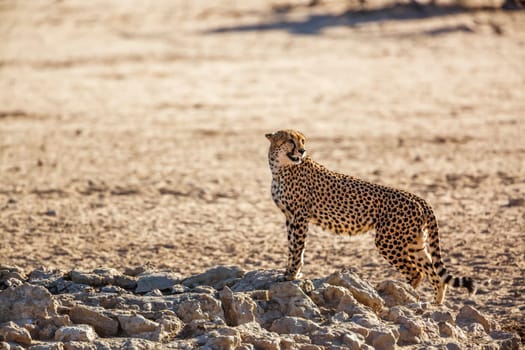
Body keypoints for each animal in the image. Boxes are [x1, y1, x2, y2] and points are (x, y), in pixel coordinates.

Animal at [266, 129, 474, 304]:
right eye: (290, 140)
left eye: (302, 140)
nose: (302, 151)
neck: (280, 168)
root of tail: (418, 198)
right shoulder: (290, 217)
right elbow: (292, 246)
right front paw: (290, 273)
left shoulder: (300, 217)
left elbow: (297, 248)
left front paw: (292, 275)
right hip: (414, 243)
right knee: (433, 272)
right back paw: (435, 304)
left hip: (388, 240)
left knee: (416, 273)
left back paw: (401, 296)